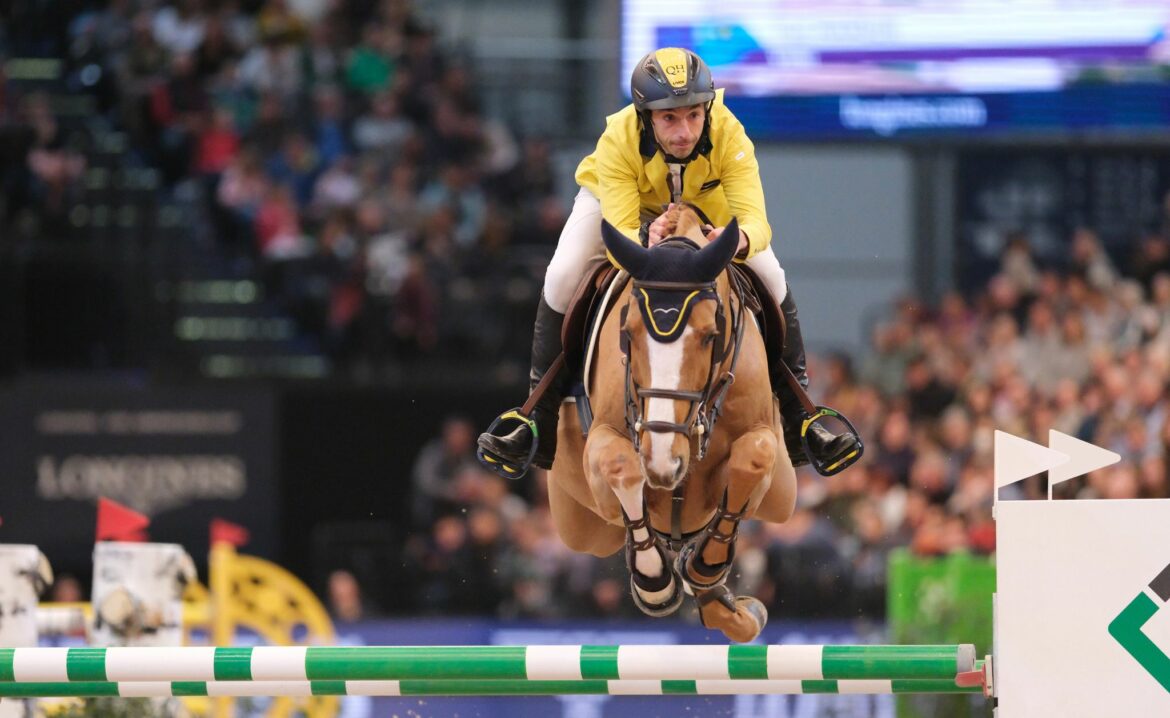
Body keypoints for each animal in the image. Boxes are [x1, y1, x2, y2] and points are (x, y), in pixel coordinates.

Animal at [545, 205, 795, 645]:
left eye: (711, 335)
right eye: (627, 334)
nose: (664, 461)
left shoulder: (763, 447)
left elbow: (754, 456)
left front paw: (707, 565)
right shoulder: (604, 451)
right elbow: (619, 465)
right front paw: (654, 581)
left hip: (783, 498)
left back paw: (729, 603)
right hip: (580, 524)